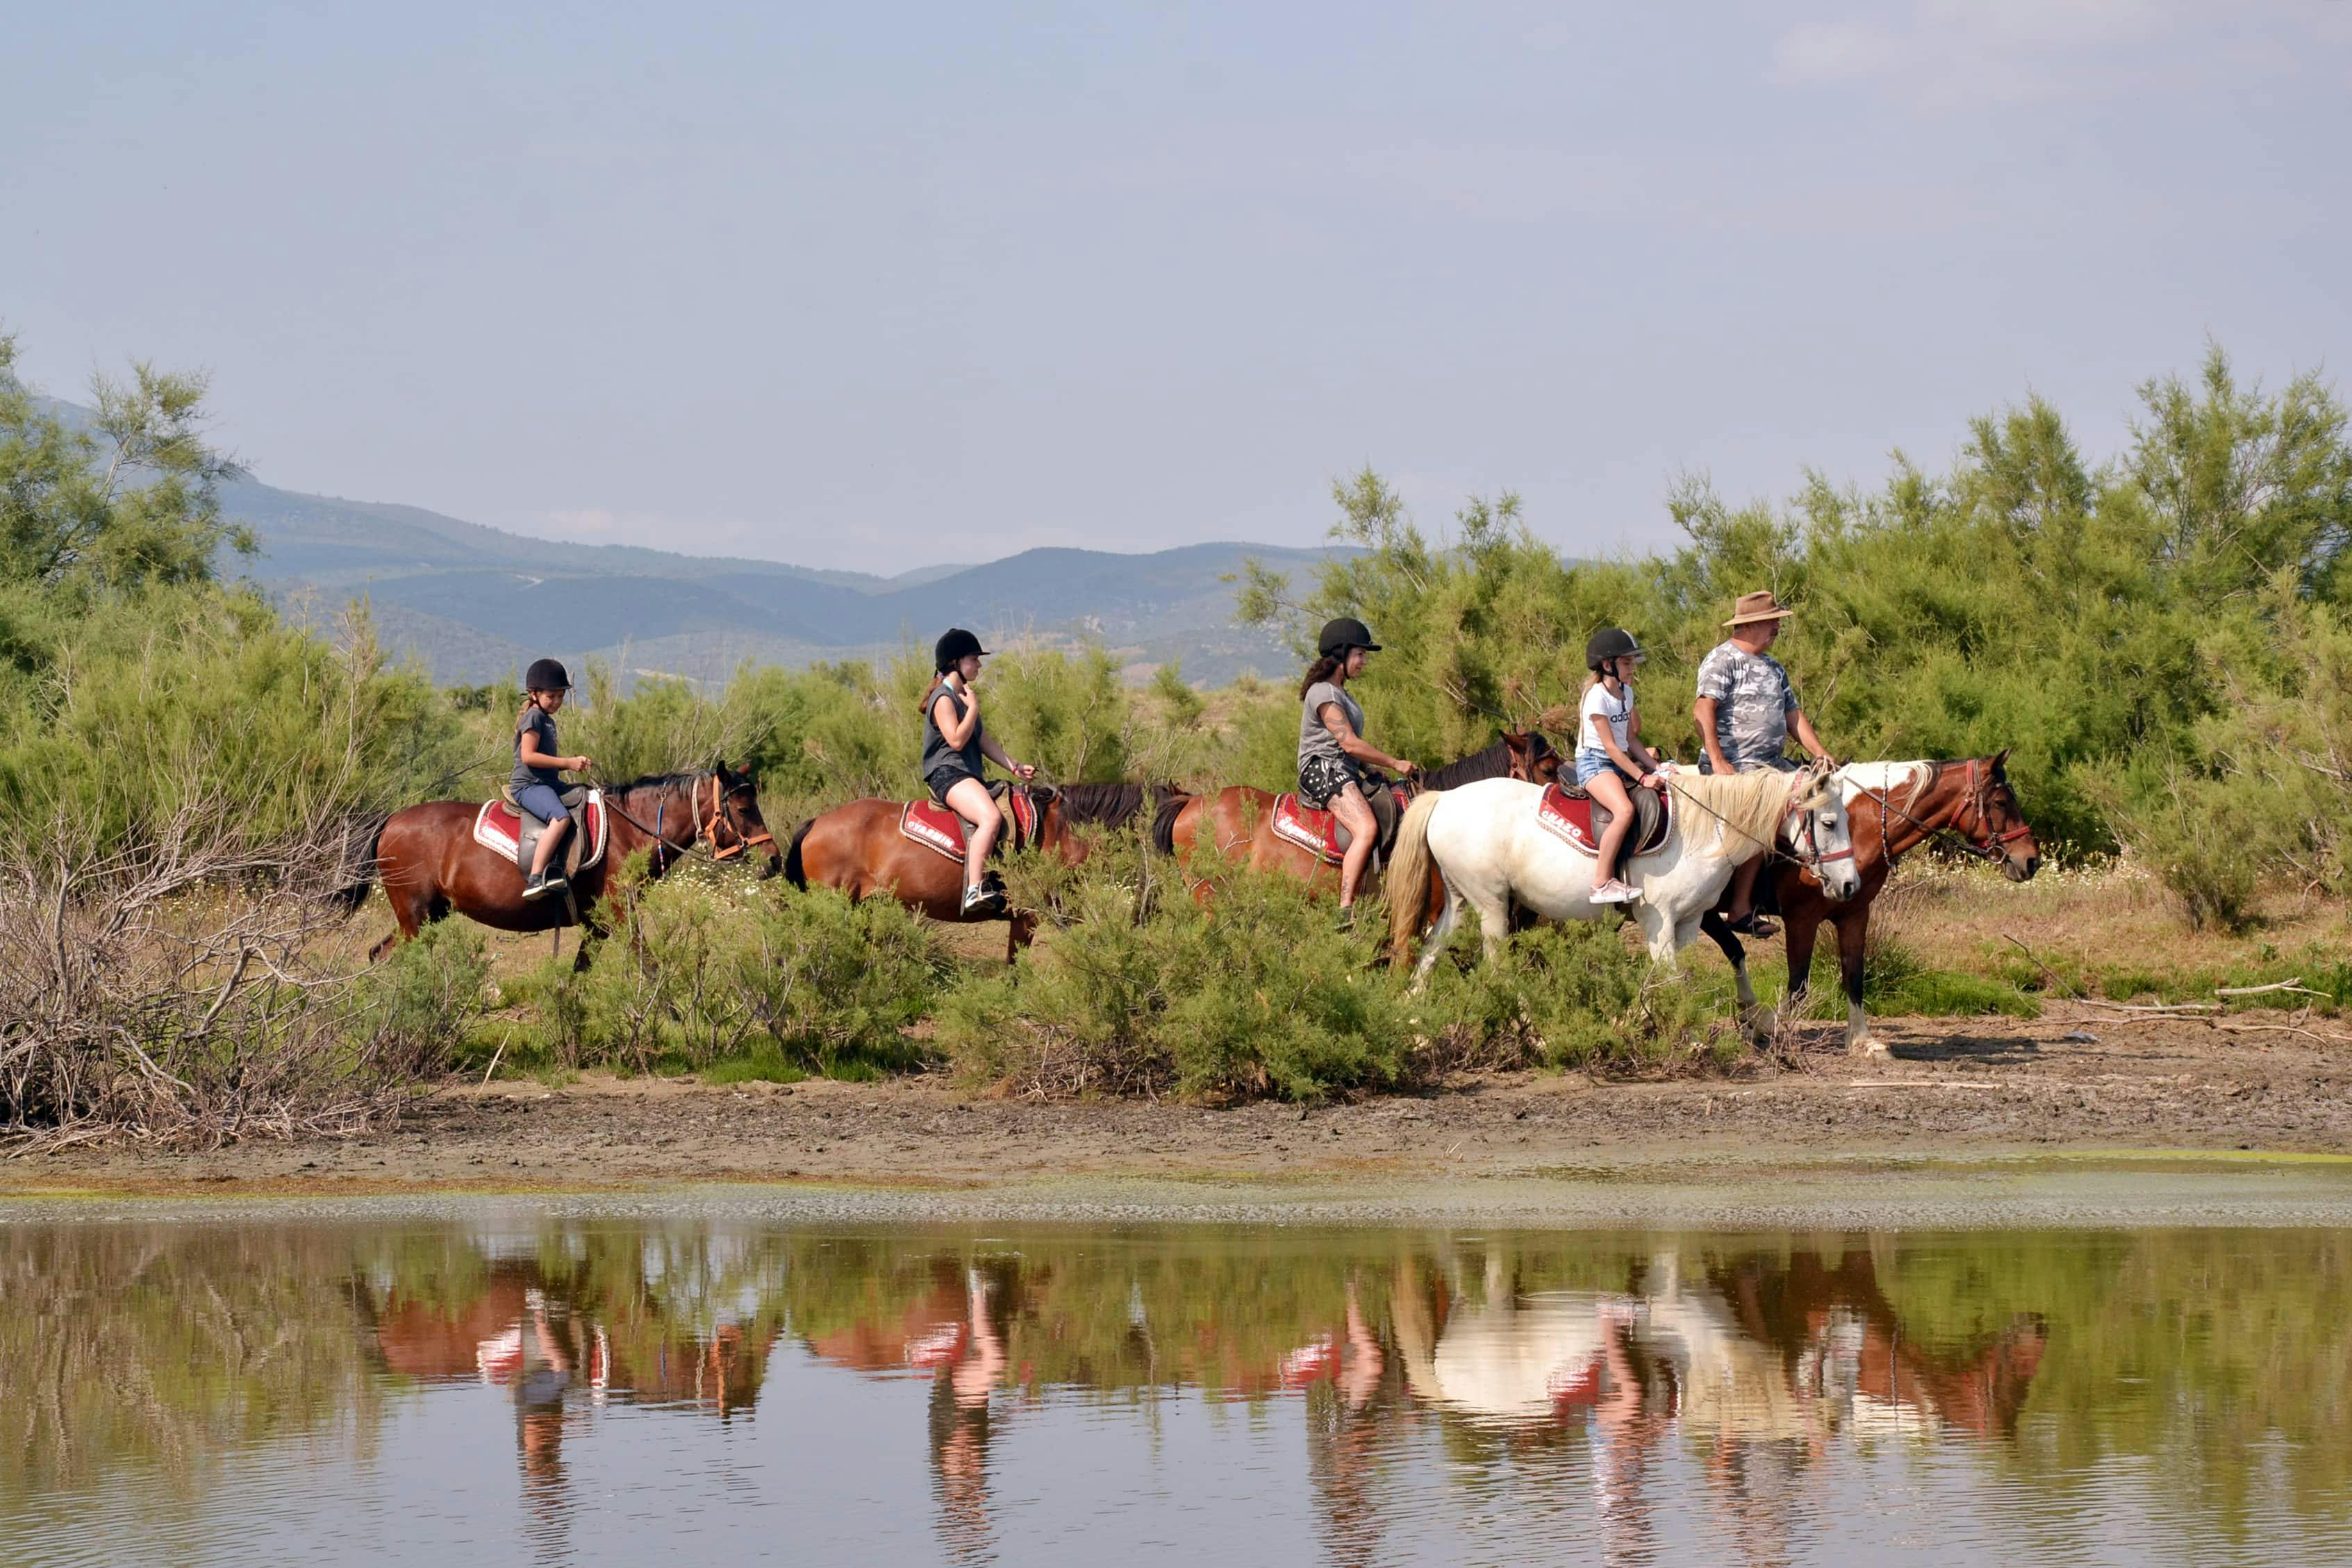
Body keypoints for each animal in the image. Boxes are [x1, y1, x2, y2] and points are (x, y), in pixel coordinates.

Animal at [348, 761, 785, 968]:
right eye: (744, 809)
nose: (774, 860)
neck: (630, 830)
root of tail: (392, 820)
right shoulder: (621, 915)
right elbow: (649, 964)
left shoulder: (599, 926)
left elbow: (579, 974)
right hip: (416, 915)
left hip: (427, 915)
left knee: (378, 953)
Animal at [1382, 761, 1862, 1024]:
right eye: (1828, 823)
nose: (1850, 885)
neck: (1706, 827)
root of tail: (1444, 799)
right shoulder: (1659, 921)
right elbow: (1671, 980)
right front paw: (1682, 1036)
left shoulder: (1687, 924)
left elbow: (1665, 980)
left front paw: (1637, 1019)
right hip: (1493, 906)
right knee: (1498, 967)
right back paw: (1529, 1026)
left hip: (1461, 903)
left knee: (1431, 949)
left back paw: (1412, 1015)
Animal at [1703, 752, 2051, 1053]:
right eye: (2001, 802)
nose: (2031, 860)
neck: (1856, 828)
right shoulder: (1802, 920)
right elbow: (1799, 984)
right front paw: (1773, 1030)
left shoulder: (1855, 914)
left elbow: (1854, 976)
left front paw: (1862, 1040)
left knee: (1733, 949)